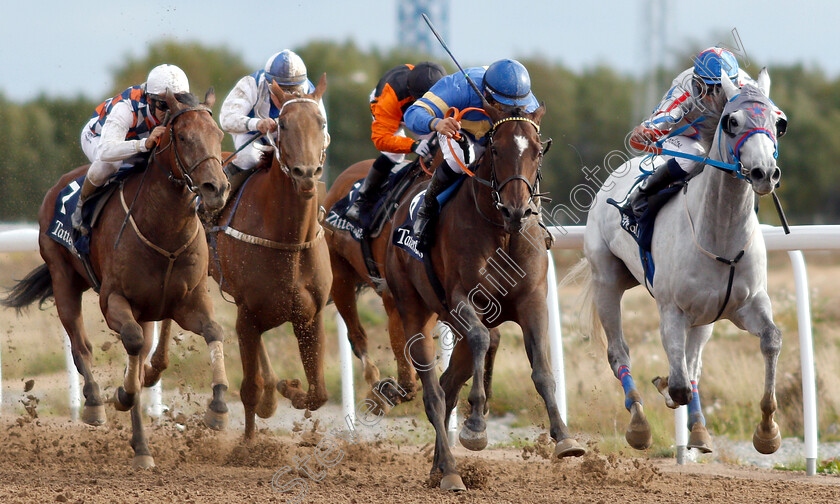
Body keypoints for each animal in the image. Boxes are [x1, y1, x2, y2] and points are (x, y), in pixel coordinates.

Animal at [1, 87, 231, 468]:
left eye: (219, 135)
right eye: (183, 137)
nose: (217, 188)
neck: (164, 231)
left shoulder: (186, 300)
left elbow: (213, 332)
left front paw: (219, 407)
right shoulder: (114, 301)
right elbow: (132, 352)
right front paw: (124, 400)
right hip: (63, 278)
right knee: (81, 345)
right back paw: (96, 405)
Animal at [207, 75, 332, 440]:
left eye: (320, 122)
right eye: (283, 124)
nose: (306, 173)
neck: (289, 241)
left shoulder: (310, 316)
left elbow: (319, 393)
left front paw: (289, 389)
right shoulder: (247, 315)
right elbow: (248, 387)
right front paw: (249, 445)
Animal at [324, 158, 502, 414]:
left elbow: (490, 337)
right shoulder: (397, 296)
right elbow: (405, 355)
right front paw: (398, 388)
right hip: (340, 276)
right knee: (357, 336)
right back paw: (377, 386)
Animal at [386, 100, 584, 490]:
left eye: (538, 152)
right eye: (495, 150)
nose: (516, 210)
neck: (503, 233)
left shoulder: (532, 301)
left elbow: (541, 368)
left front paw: (565, 437)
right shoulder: (463, 298)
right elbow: (480, 339)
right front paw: (476, 425)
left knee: (448, 385)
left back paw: (439, 467)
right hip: (414, 309)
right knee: (434, 394)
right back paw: (450, 470)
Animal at [576, 69, 784, 454]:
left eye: (779, 123)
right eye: (732, 122)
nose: (765, 173)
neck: (720, 238)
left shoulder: (747, 304)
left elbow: (771, 340)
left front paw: (767, 431)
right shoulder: (672, 310)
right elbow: (678, 385)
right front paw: (665, 389)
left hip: (706, 316)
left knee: (694, 364)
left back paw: (699, 429)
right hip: (606, 279)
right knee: (619, 352)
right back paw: (639, 423)